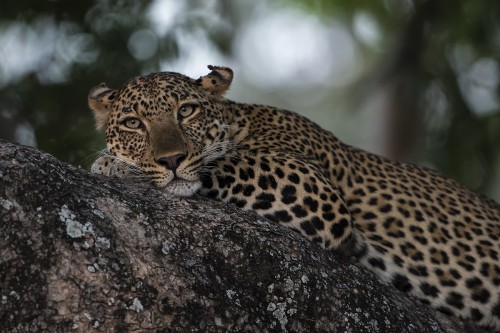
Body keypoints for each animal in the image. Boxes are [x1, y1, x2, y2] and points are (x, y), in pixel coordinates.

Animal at [88, 65, 500, 330]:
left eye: (186, 111)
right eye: (132, 124)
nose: (171, 160)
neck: (239, 122)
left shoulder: (314, 188)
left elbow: (224, 162)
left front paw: (112, 164)